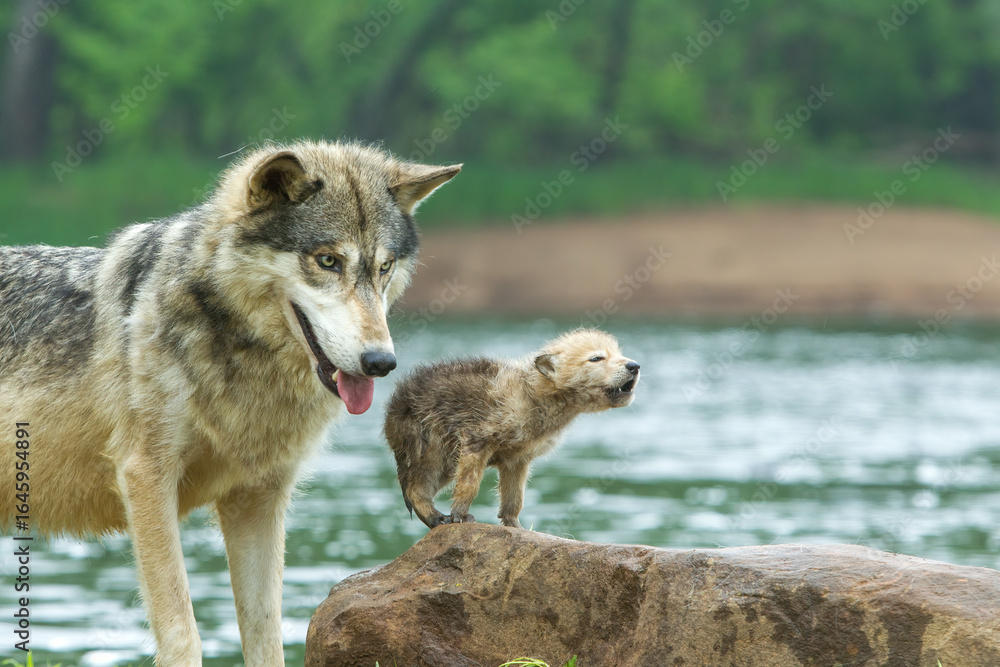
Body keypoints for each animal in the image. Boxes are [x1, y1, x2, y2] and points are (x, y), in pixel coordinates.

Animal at [0, 140, 460, 665]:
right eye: (327, 261)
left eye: (384, 268)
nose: (381, 362)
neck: (241, 356)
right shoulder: (146, 479)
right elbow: (182, 632)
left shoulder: (258, 499)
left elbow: (266, 634)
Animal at [384, 329, 639, 529]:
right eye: (596, 358)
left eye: (617, 353)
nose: (634, 365)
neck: (534, 394)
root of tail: (392, 410)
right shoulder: (478, 437)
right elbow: (469, 482)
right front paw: (460, 515)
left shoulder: (517, 458)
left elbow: (514, 496)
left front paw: (515, 525)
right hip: (429, 442)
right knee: (416, 488)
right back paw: (436, 517)